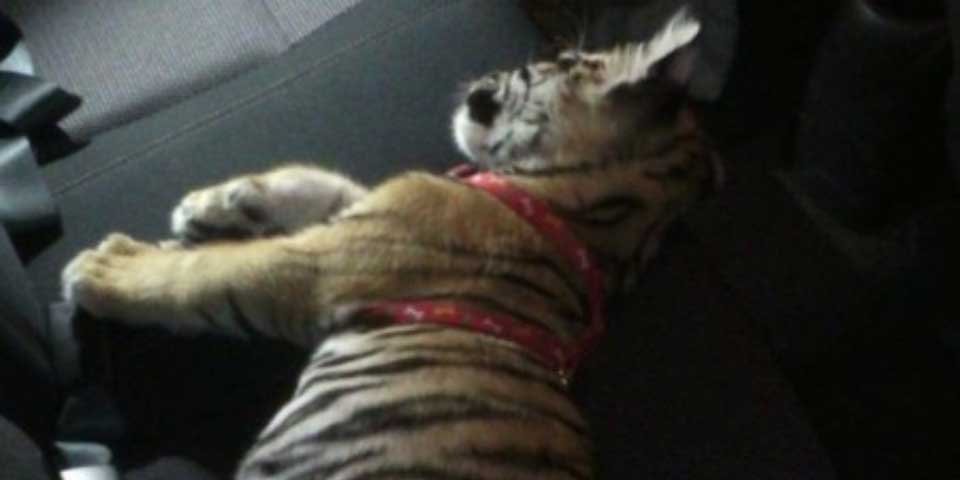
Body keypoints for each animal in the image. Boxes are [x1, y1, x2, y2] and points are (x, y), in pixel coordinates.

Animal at [61, 10, 721, 480]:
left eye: (550, 62)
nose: (479, 84)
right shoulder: (362, 214)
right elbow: (312, 179)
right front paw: (210, 206)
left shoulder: (326, 264)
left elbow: (205, 274)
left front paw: (107, 268)